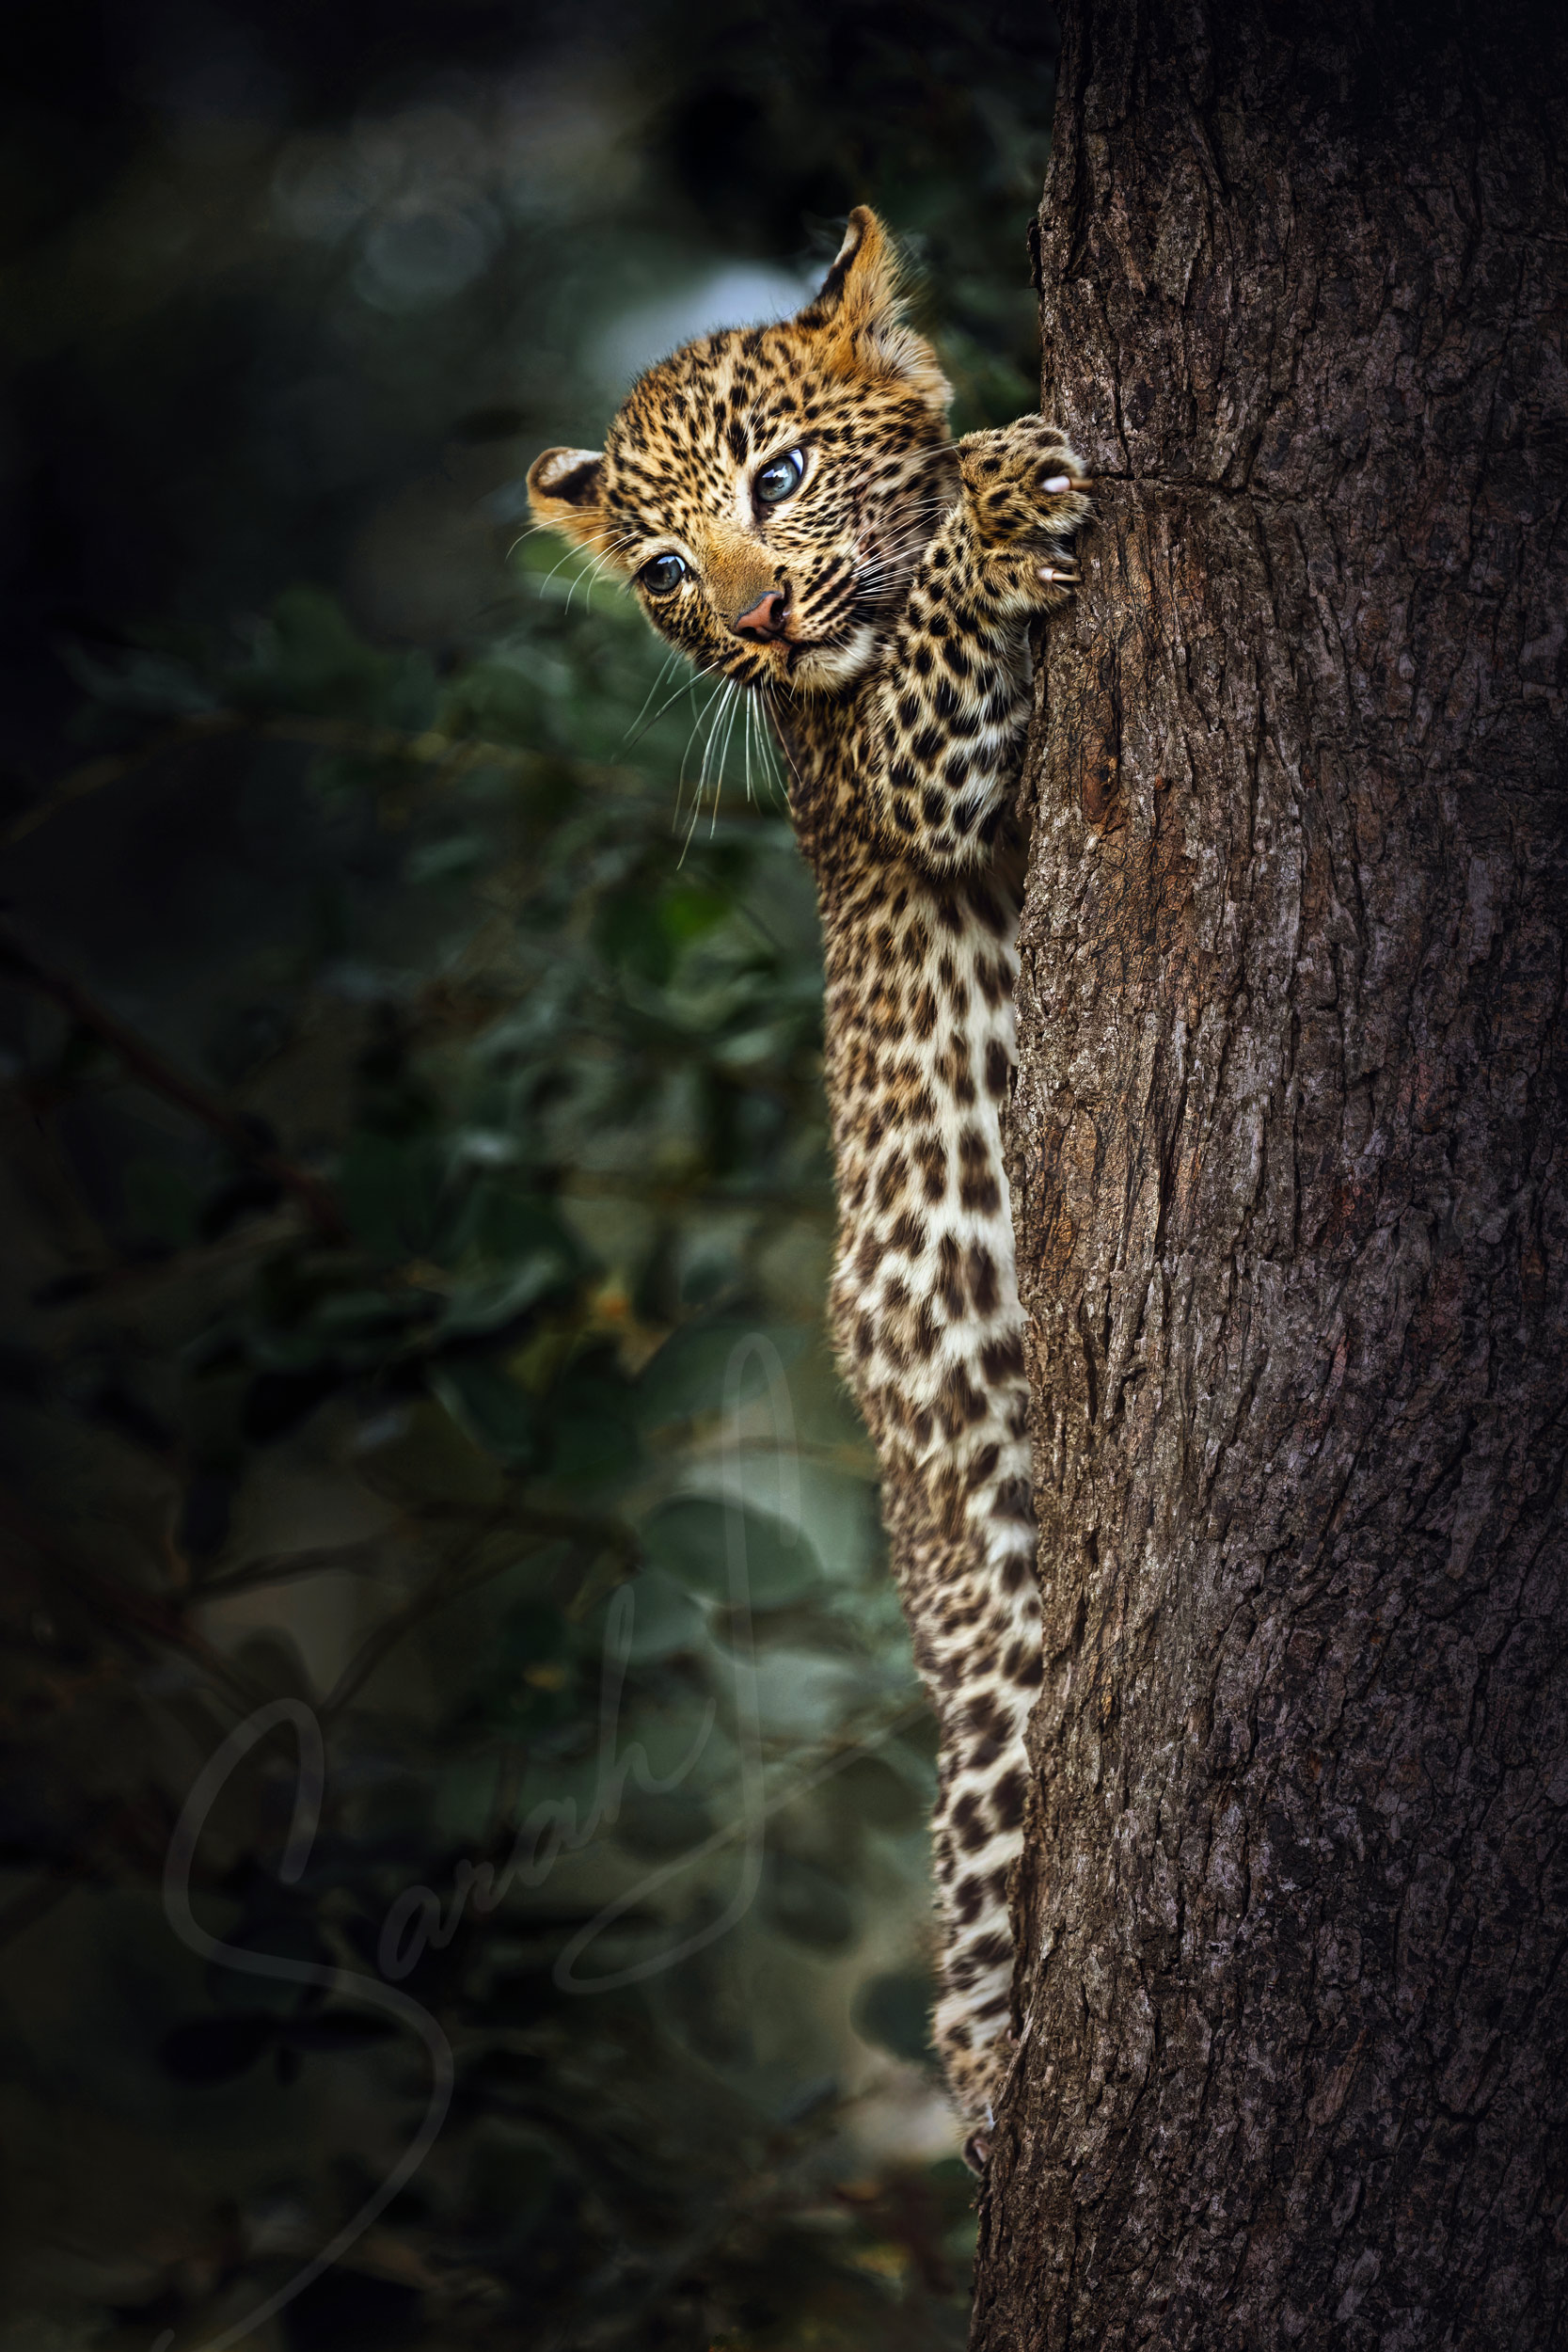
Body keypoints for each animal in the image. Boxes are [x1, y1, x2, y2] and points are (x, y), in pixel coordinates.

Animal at [528, 206, 1089, 2162]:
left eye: (773, 477)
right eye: (661, 573)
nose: (754, 611)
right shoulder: (906, 774)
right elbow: (930, 648)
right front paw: (1003, 485)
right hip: (995, 1675)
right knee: (973, 1945)